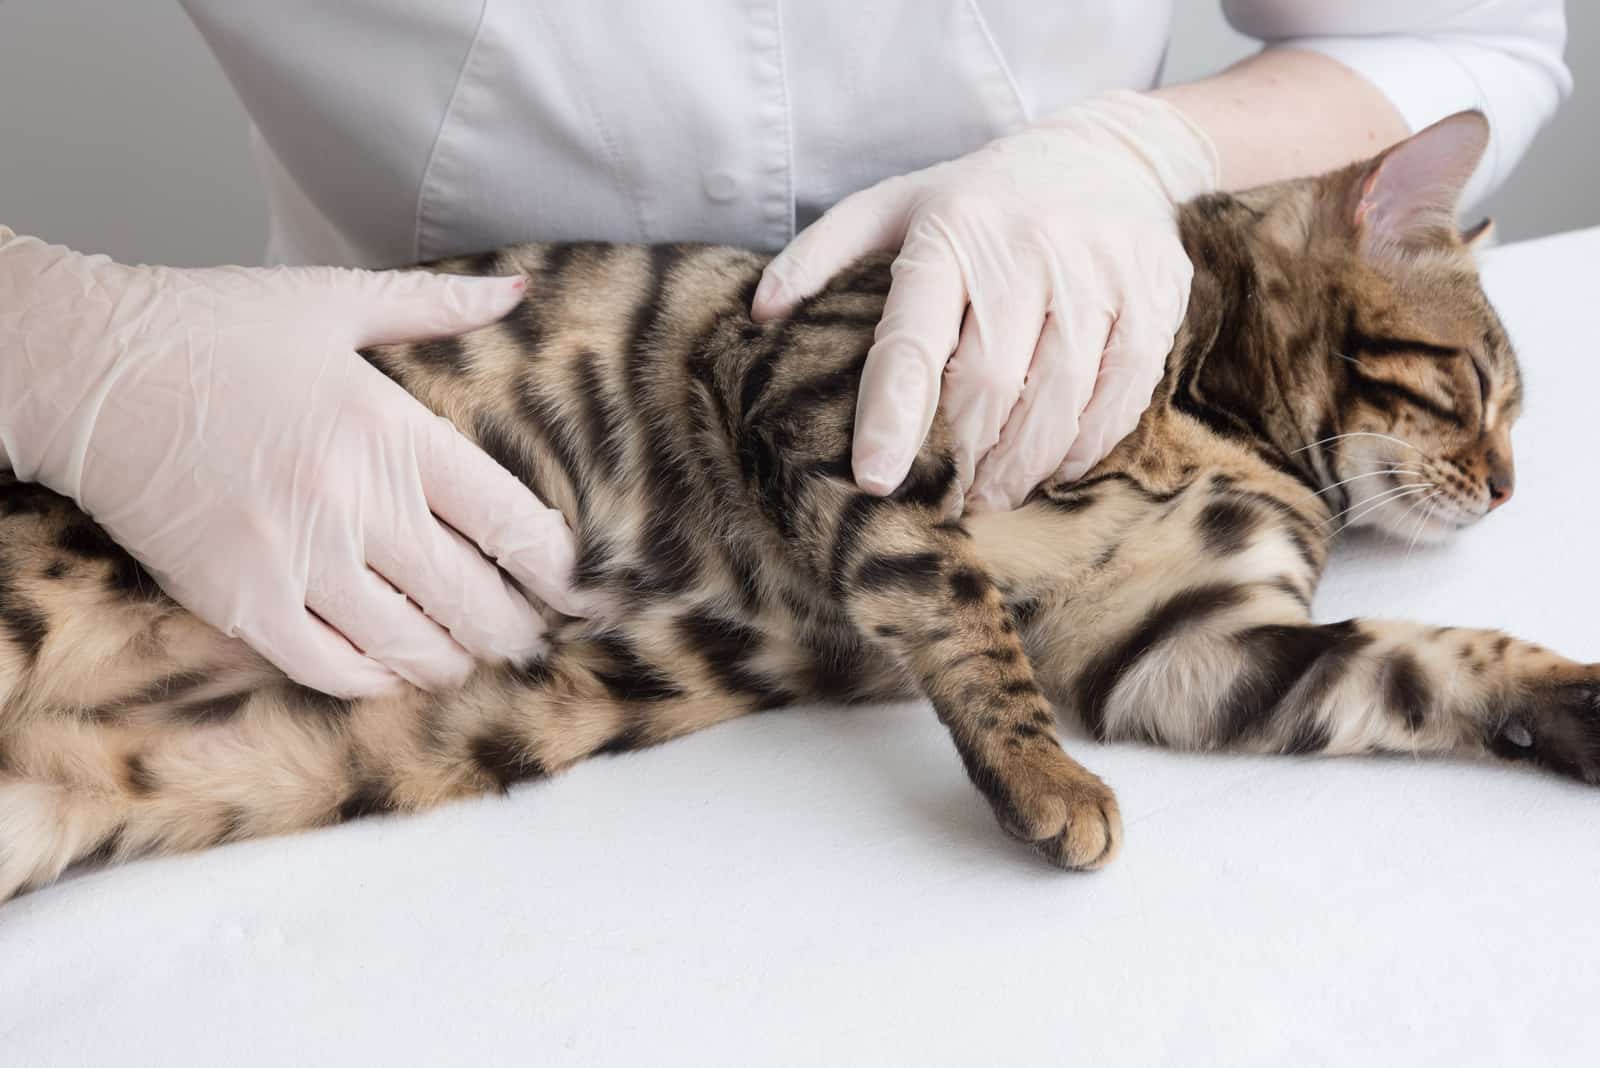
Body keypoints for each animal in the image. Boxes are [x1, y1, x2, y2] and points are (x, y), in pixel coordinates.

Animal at [0, 110, 1587, 901]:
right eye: (1472, 388)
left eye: (1509, 410)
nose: (1511, 487)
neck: (1224, 423)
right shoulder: (821, 391)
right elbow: (958, 602)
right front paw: (1045, 784)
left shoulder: (1185, 644)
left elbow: (1430, 664)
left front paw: (1574, 699)